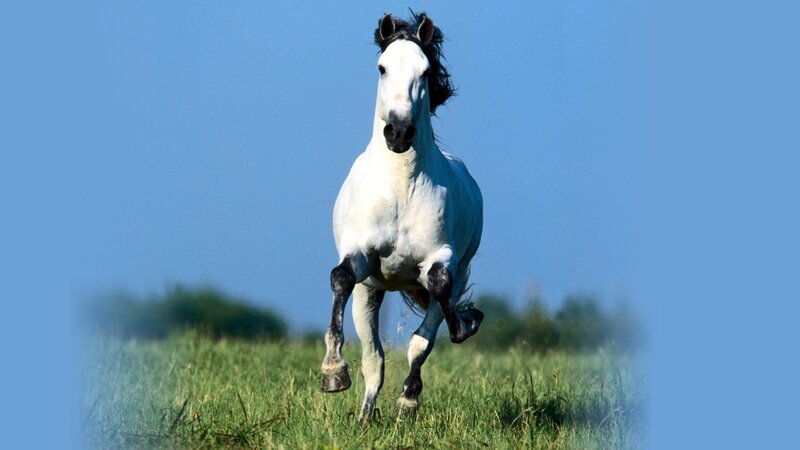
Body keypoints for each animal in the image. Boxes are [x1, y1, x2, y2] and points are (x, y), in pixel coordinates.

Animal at [320, 12, 485, 422]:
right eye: (382, 68)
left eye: (425, 71)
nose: (398, 131)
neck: (400, 185)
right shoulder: (360, 255)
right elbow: (340, 277)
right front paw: (332, 373)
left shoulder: (442, 259)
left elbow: (437, 296)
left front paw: (466, 324)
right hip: (371, 292)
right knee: (373, 358)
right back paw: (364, 416)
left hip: (457, 270)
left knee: (424, 332)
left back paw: (407, 400)